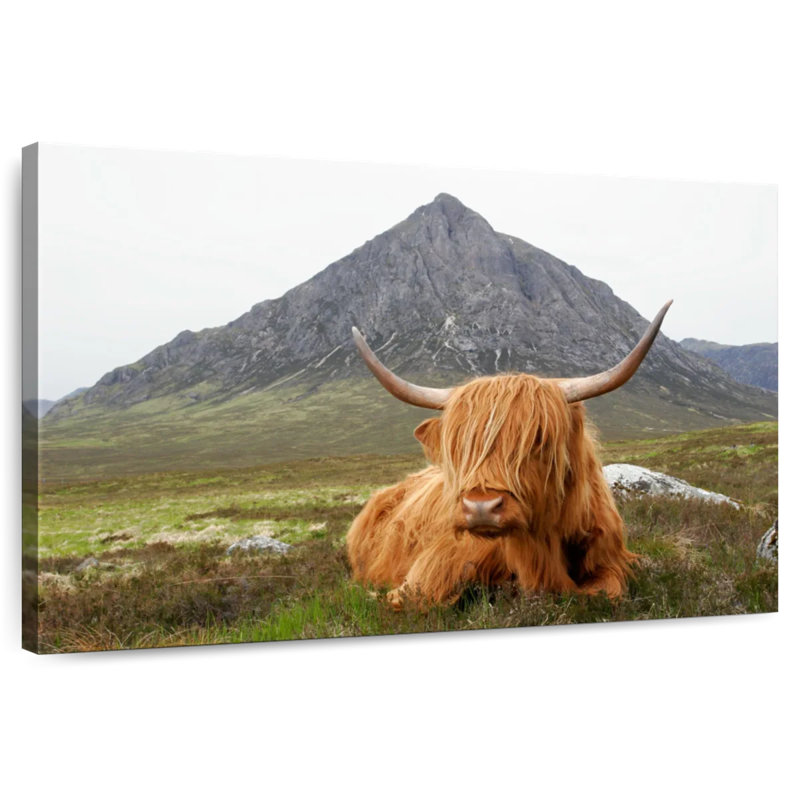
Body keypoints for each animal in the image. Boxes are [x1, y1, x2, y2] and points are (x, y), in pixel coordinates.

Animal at [345, 301, 672, 609]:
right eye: (460, 445)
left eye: (539, 438)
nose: (480, 507)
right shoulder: (433, 566)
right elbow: (417, 598)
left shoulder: (612, 560)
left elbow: (608, 591)